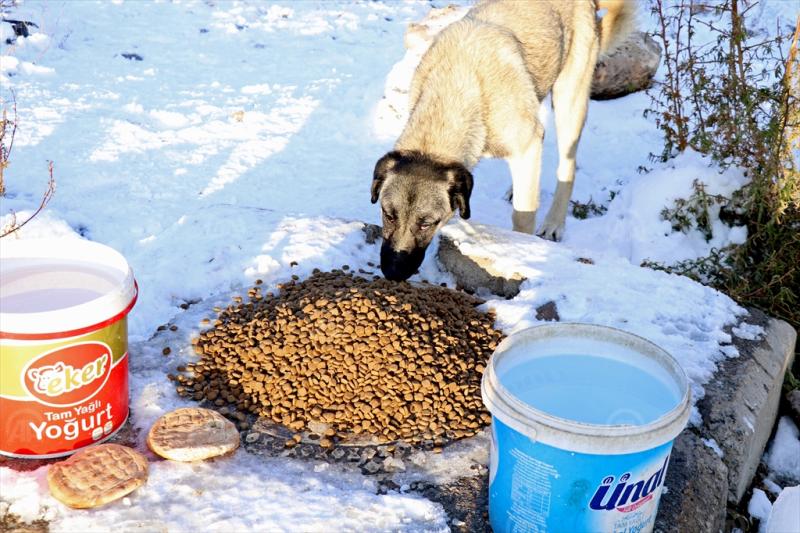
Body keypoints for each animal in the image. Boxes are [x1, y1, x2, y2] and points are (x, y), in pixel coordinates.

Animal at [370, 0, 636, 280]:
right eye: (388, 214)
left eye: (427, 223)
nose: (392, 272)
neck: (456, 89)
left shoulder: (527, 144)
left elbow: (523, 216)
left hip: (568, 101)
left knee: (567, 167)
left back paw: (554, 222)